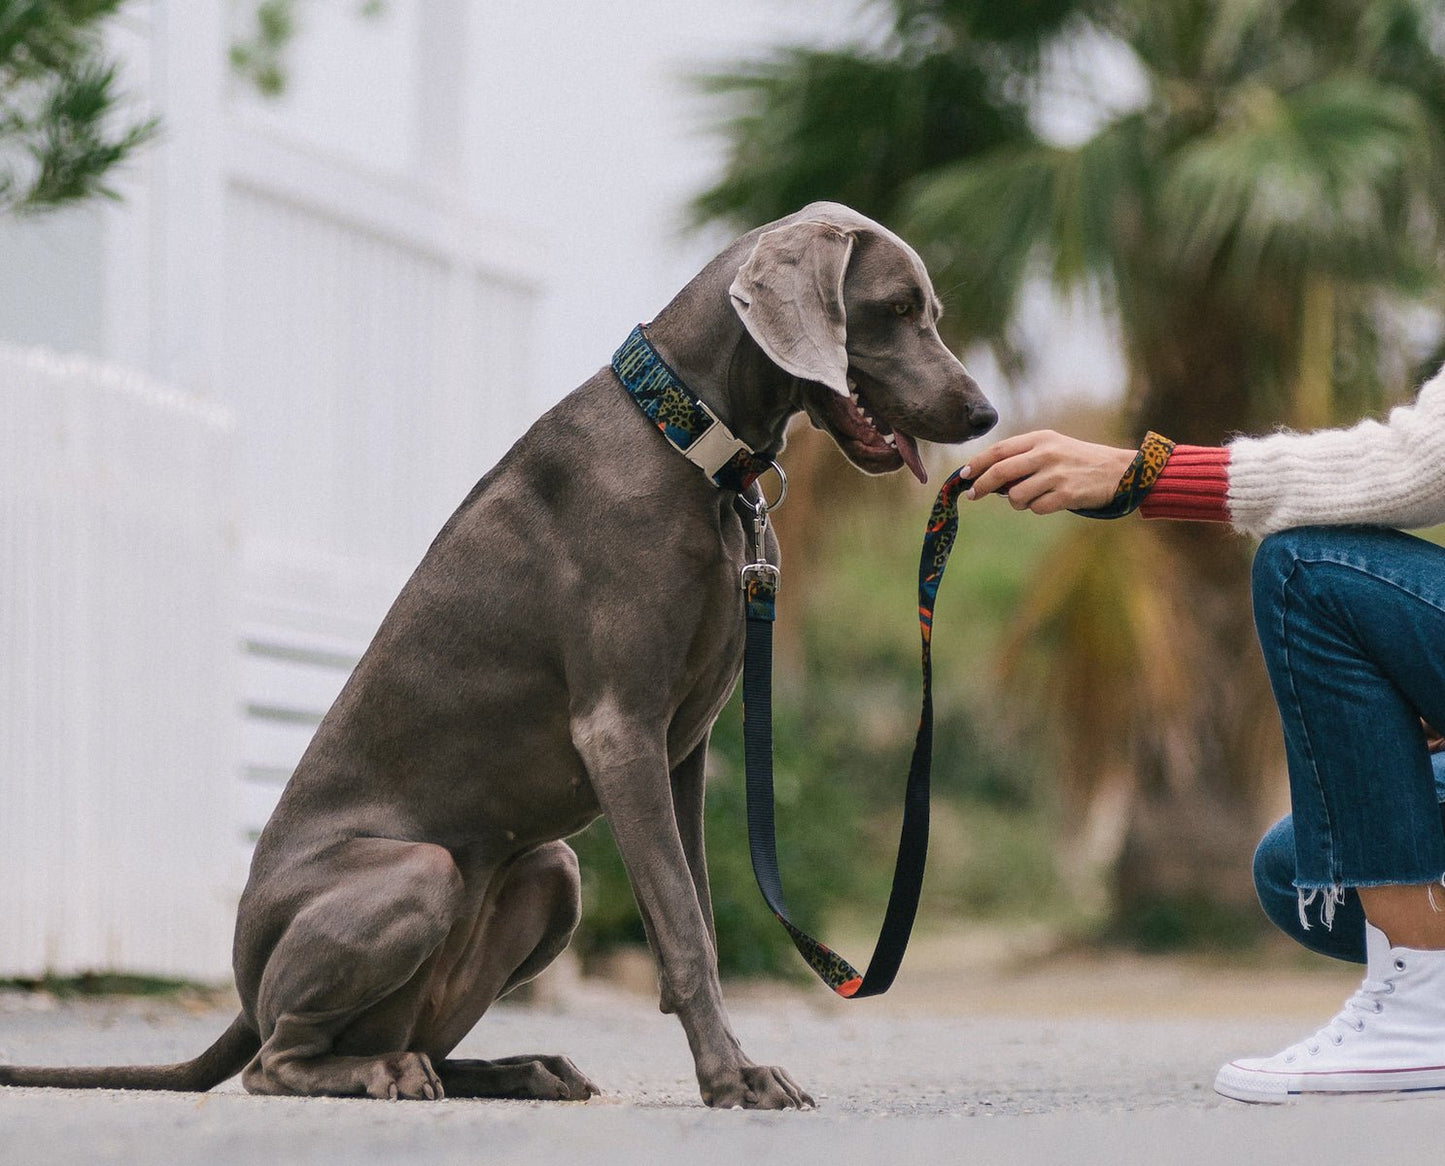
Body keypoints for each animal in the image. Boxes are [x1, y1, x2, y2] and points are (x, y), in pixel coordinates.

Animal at [0, 202, 994, 1115]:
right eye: (894, 307)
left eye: (929, 308)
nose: (982, 413)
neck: (691, 445)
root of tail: (242, 994)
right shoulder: (620, 730)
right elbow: (682, 925)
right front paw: (731, 1078)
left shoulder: (684, 747)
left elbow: (702, 913)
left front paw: (729, 1062)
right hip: (416, 873)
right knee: (277, 1063)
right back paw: (384, 1074)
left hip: (550, 873)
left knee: (422, 1034)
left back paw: (516, 1068)